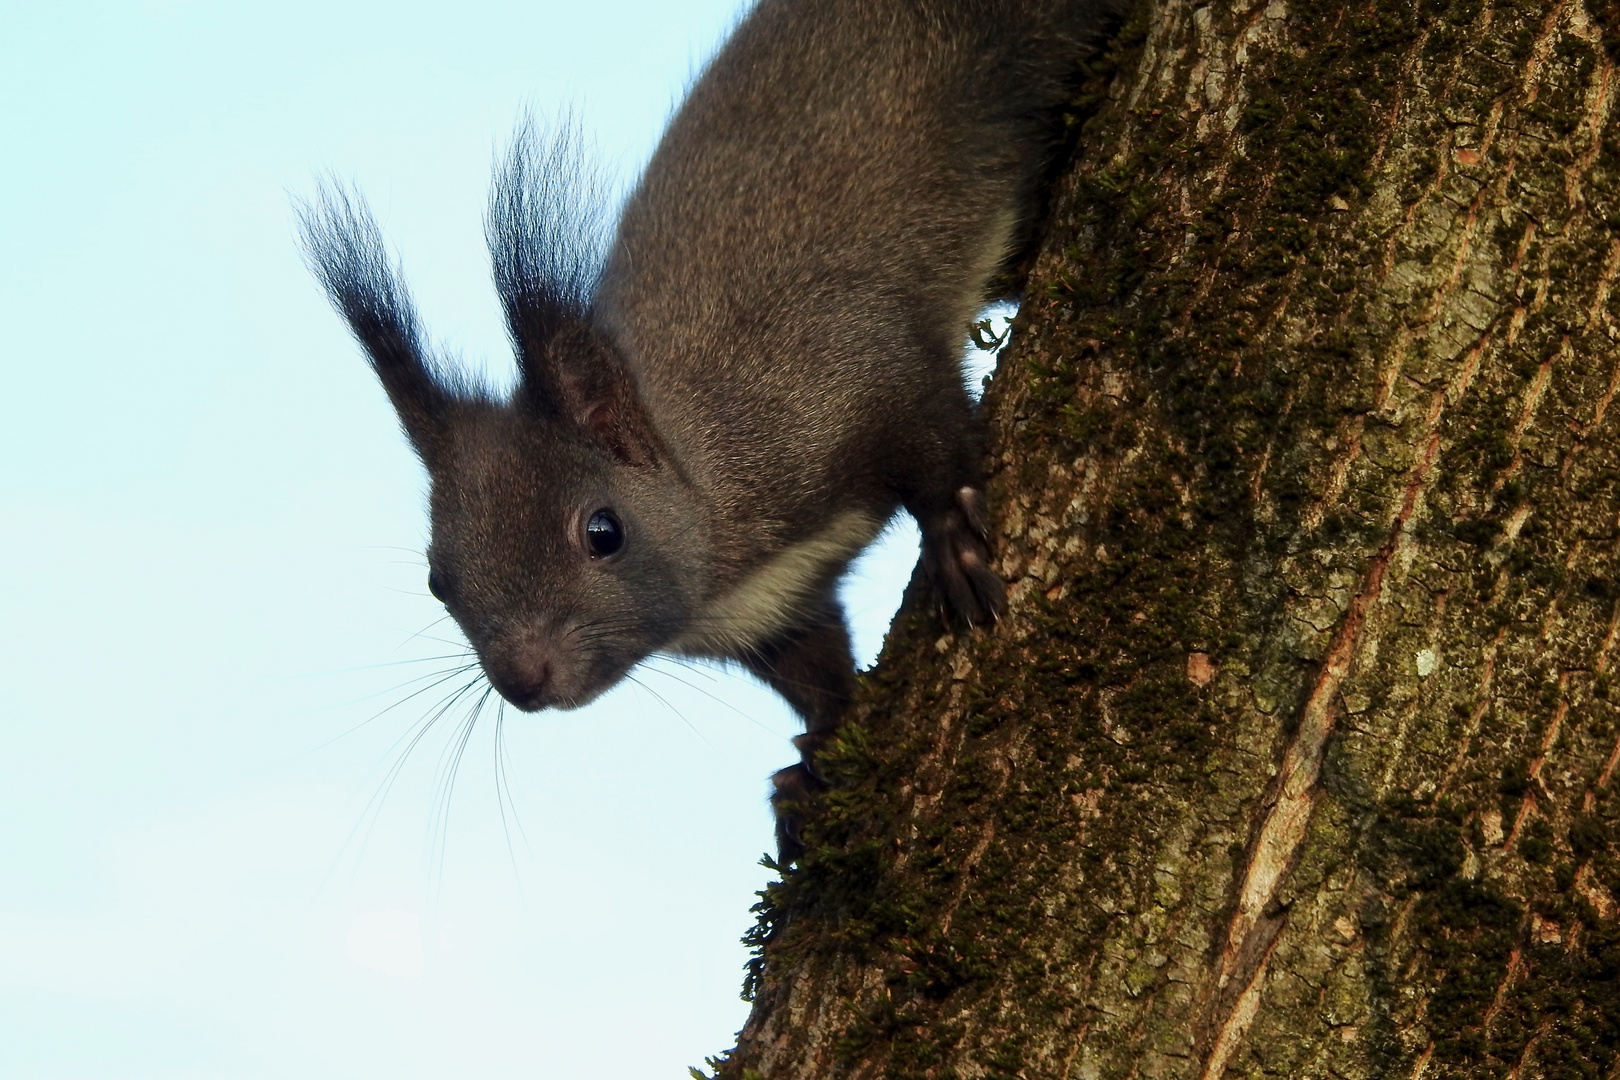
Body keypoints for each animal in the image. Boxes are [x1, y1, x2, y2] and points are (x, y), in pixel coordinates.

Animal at [298, 0, 1121, 861]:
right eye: (436, 581)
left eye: (603, 531)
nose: (522, 680)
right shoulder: (773, 614)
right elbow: (814, 670)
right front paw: (813, 761)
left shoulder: (842, 366)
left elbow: (926, 421)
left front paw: (953, 531)